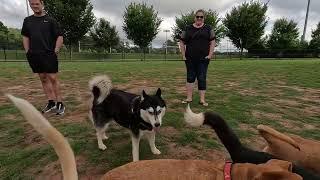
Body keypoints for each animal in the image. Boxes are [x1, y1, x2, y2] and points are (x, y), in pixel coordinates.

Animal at [6, 95, 302, 179]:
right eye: (152, 109)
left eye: (160, 110)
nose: (157, 120)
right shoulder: (138, 132)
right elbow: (138, 149)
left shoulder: (150, 130)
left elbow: (153, 142)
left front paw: (156, 150)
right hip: (102, 119)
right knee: (98, 131)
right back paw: (102, 143)